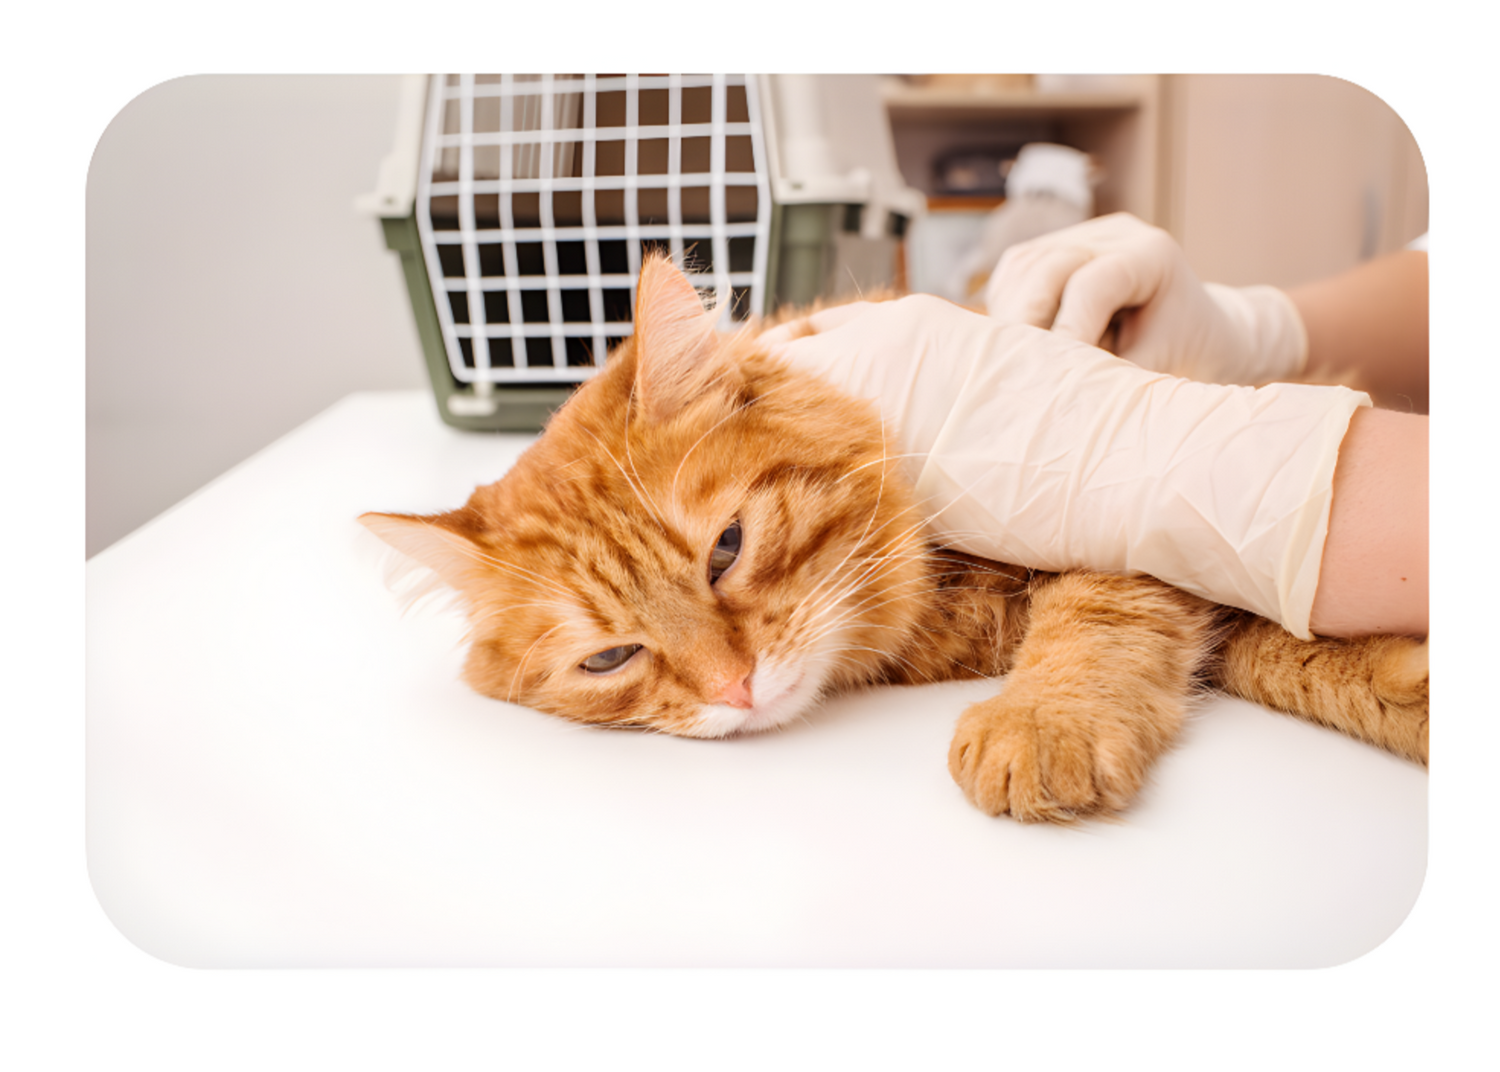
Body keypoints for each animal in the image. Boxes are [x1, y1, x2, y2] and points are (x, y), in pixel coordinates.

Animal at [363, 256, 1428, 827]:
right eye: (611, 659)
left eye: (726, 550)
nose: (734, 689)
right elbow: (1275, 641)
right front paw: (1402, 681)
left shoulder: (1138, 505)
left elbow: (1111, 612)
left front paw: (1046, 718)